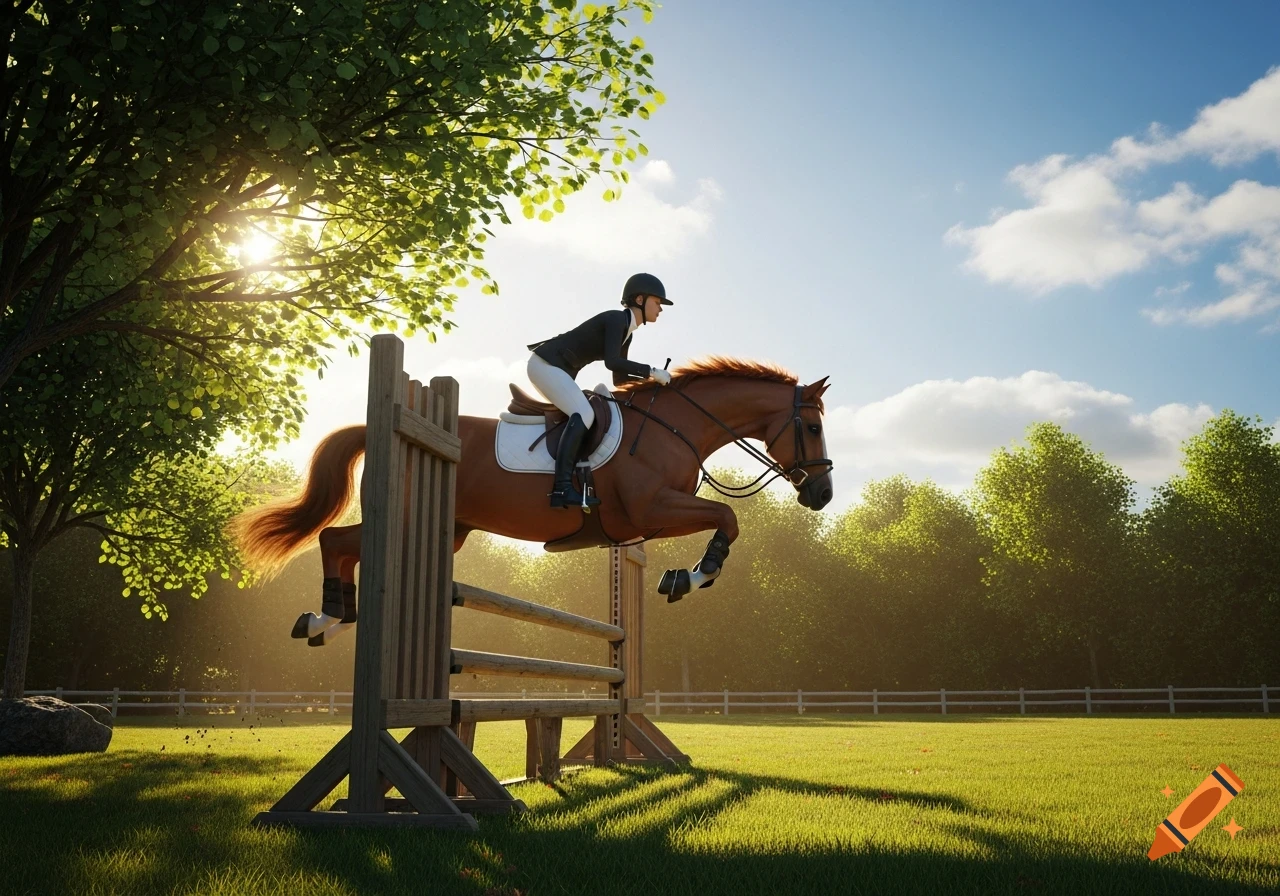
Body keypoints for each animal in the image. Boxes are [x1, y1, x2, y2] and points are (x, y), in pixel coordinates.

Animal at [231, 357, 833, 643]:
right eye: (811, 426)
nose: (823, 494)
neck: (674, 427)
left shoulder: (649, 519)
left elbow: (724, 518)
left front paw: (681, 576)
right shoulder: (650, 509)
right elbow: (727, 516)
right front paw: (689, 577)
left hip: (451, 531)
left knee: (347, 548)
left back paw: (327, 621)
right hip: (408, 516)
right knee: (336, 539)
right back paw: (326, 615)